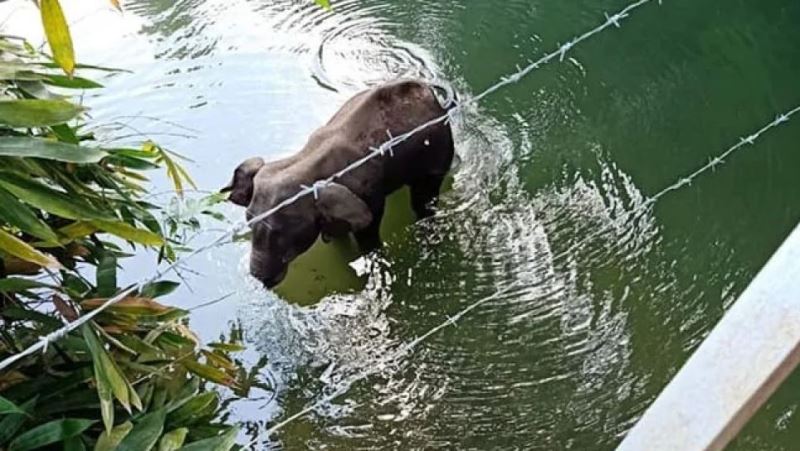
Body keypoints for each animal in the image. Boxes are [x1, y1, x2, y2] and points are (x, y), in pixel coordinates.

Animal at [222, 79, 456, 288]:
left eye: (280, 232)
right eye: (249, 221)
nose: (260, 279)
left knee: (423, 200)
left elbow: (369, 235)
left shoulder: (369, 196)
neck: (305, 160)